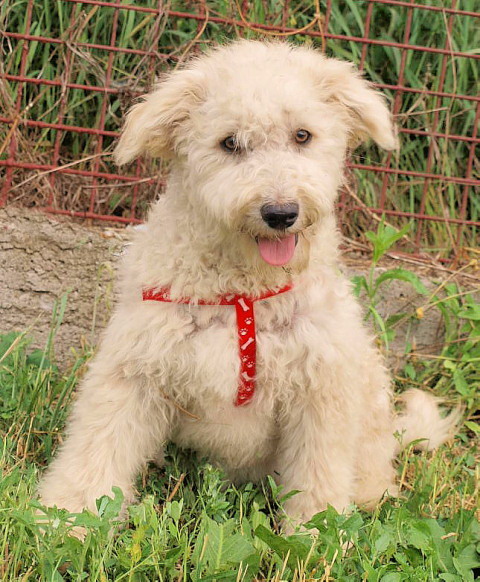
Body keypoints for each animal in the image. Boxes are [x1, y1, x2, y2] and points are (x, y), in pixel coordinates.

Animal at [39, 40, 459, 530]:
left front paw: (314, 533)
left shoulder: (322, 390)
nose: (281, 213)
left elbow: (319, 474)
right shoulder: (134, 369)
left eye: (302, 136)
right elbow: (96, 447)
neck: (244, 293)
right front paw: (66, 516)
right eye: (229, 143)